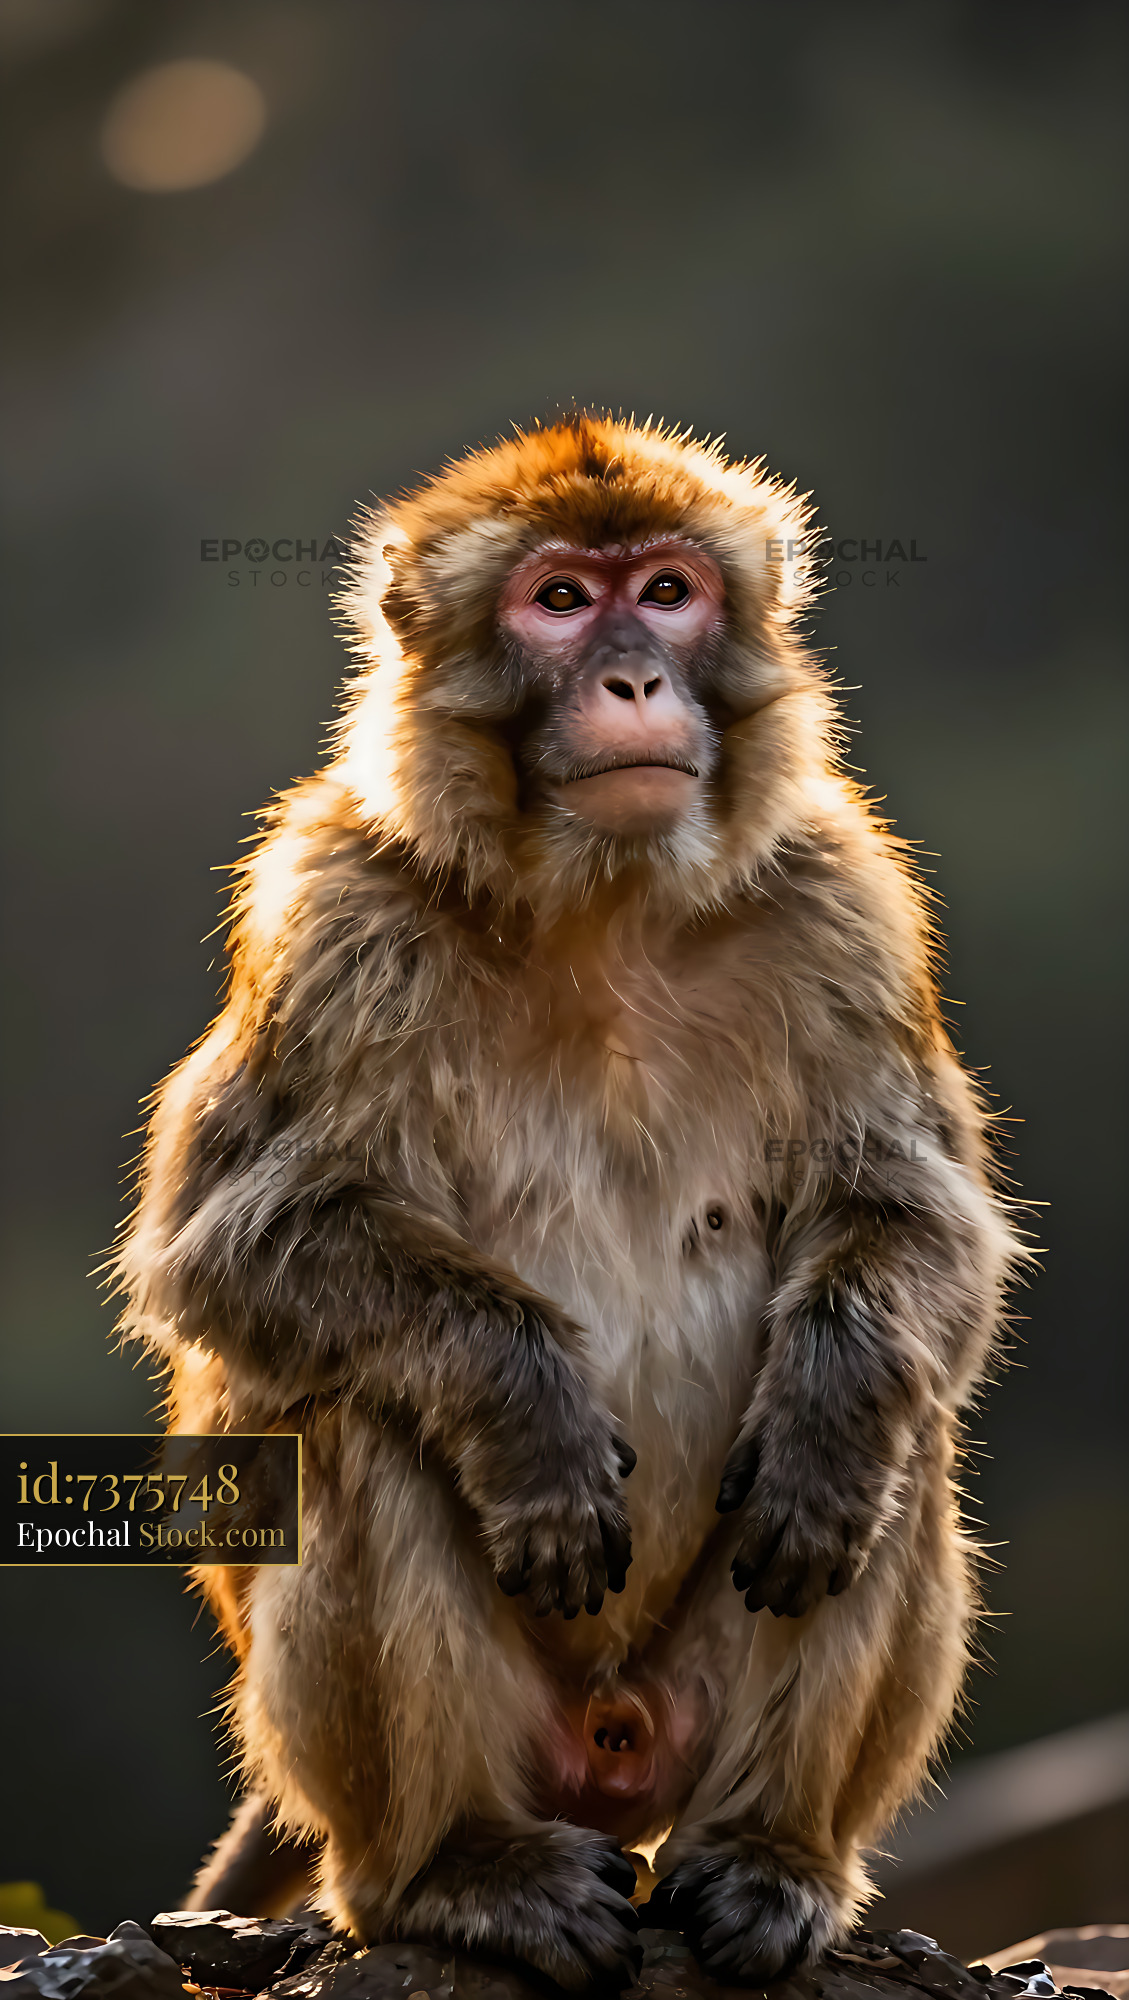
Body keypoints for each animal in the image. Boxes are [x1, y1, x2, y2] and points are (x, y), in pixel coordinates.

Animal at [116, 415, 1022, 1990]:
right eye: (557, 601)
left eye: (664, 591)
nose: (633, 678)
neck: (604, 899)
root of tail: (612, 1747)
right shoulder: (332, 915)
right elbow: (228, 1251)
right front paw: (525, 1415)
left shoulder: (843, 897)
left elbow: (919, 1216)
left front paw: (830, 1416)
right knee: (365, 1424)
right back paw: (457, 1871)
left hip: (681, 1718)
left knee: (901, 1444)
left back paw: (771, 1856)